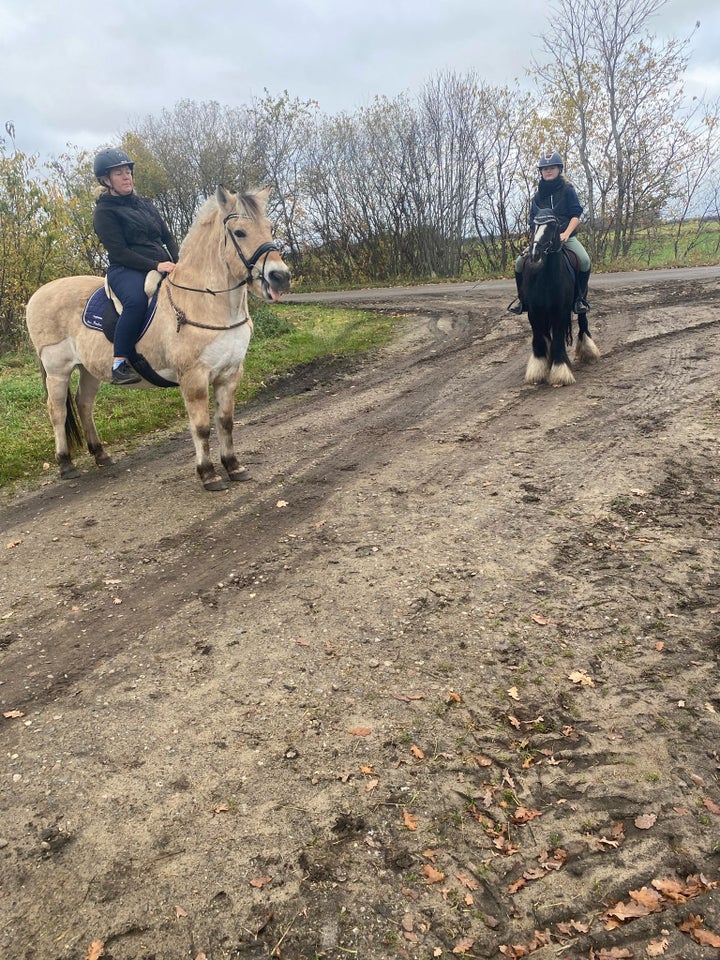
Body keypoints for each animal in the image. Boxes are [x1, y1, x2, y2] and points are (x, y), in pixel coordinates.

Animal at [26, 187, 290, 492]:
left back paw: (101, 454)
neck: (203, 301)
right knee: (57, 411)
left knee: (84, 404)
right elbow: (201, 426)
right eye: (240, 232)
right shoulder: (193, 377)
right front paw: (208, 474)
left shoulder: (230, 373)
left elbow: (225, 422)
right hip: (57, 370)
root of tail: (37, 295)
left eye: (270, 228)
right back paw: (66, 464)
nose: (280, 276)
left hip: (89, 368)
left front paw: (234, 467)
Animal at [520, 214, 600, 386]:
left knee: (583, 321)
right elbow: (539, 336)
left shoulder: (560, 311)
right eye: (533, 226)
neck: (545, 277)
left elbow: (557, 337)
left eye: (552, 226)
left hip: (581, 299)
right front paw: (538, 369)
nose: (535, 255)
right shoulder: (534, 312)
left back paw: (588, 351)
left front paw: (560, 372)